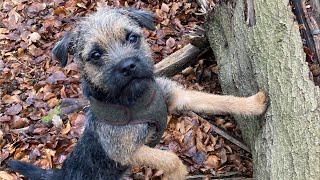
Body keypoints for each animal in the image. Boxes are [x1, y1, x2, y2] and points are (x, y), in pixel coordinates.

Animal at [6, 6, 268, 179]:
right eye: (96, 55)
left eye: (132, 37)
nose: (128, 66)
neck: (137, 98)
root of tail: (61, 174)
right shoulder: (125, 151)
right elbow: (170, 158)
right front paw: (179, 173)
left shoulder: (178, 96)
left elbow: (218, 99)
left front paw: (255, 102)